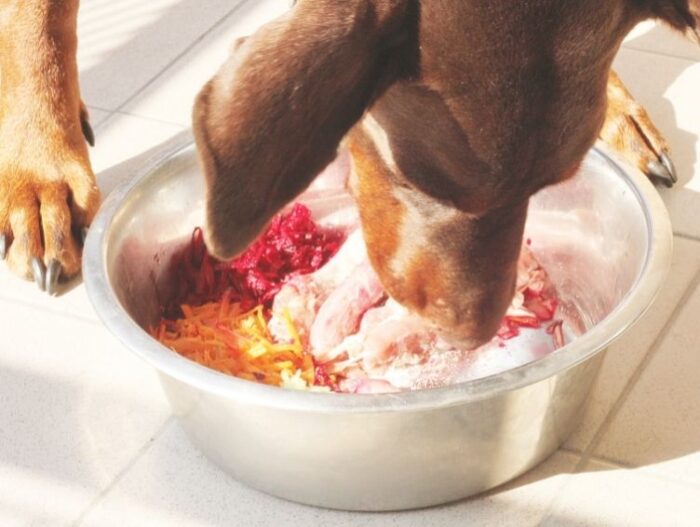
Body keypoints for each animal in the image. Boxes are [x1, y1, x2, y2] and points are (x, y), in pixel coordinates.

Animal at [0, 0, 696, 346]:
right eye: (419, 182)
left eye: (553, 184)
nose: (469, 336)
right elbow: (37, 17)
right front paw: (40, 171)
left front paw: (617, 107)